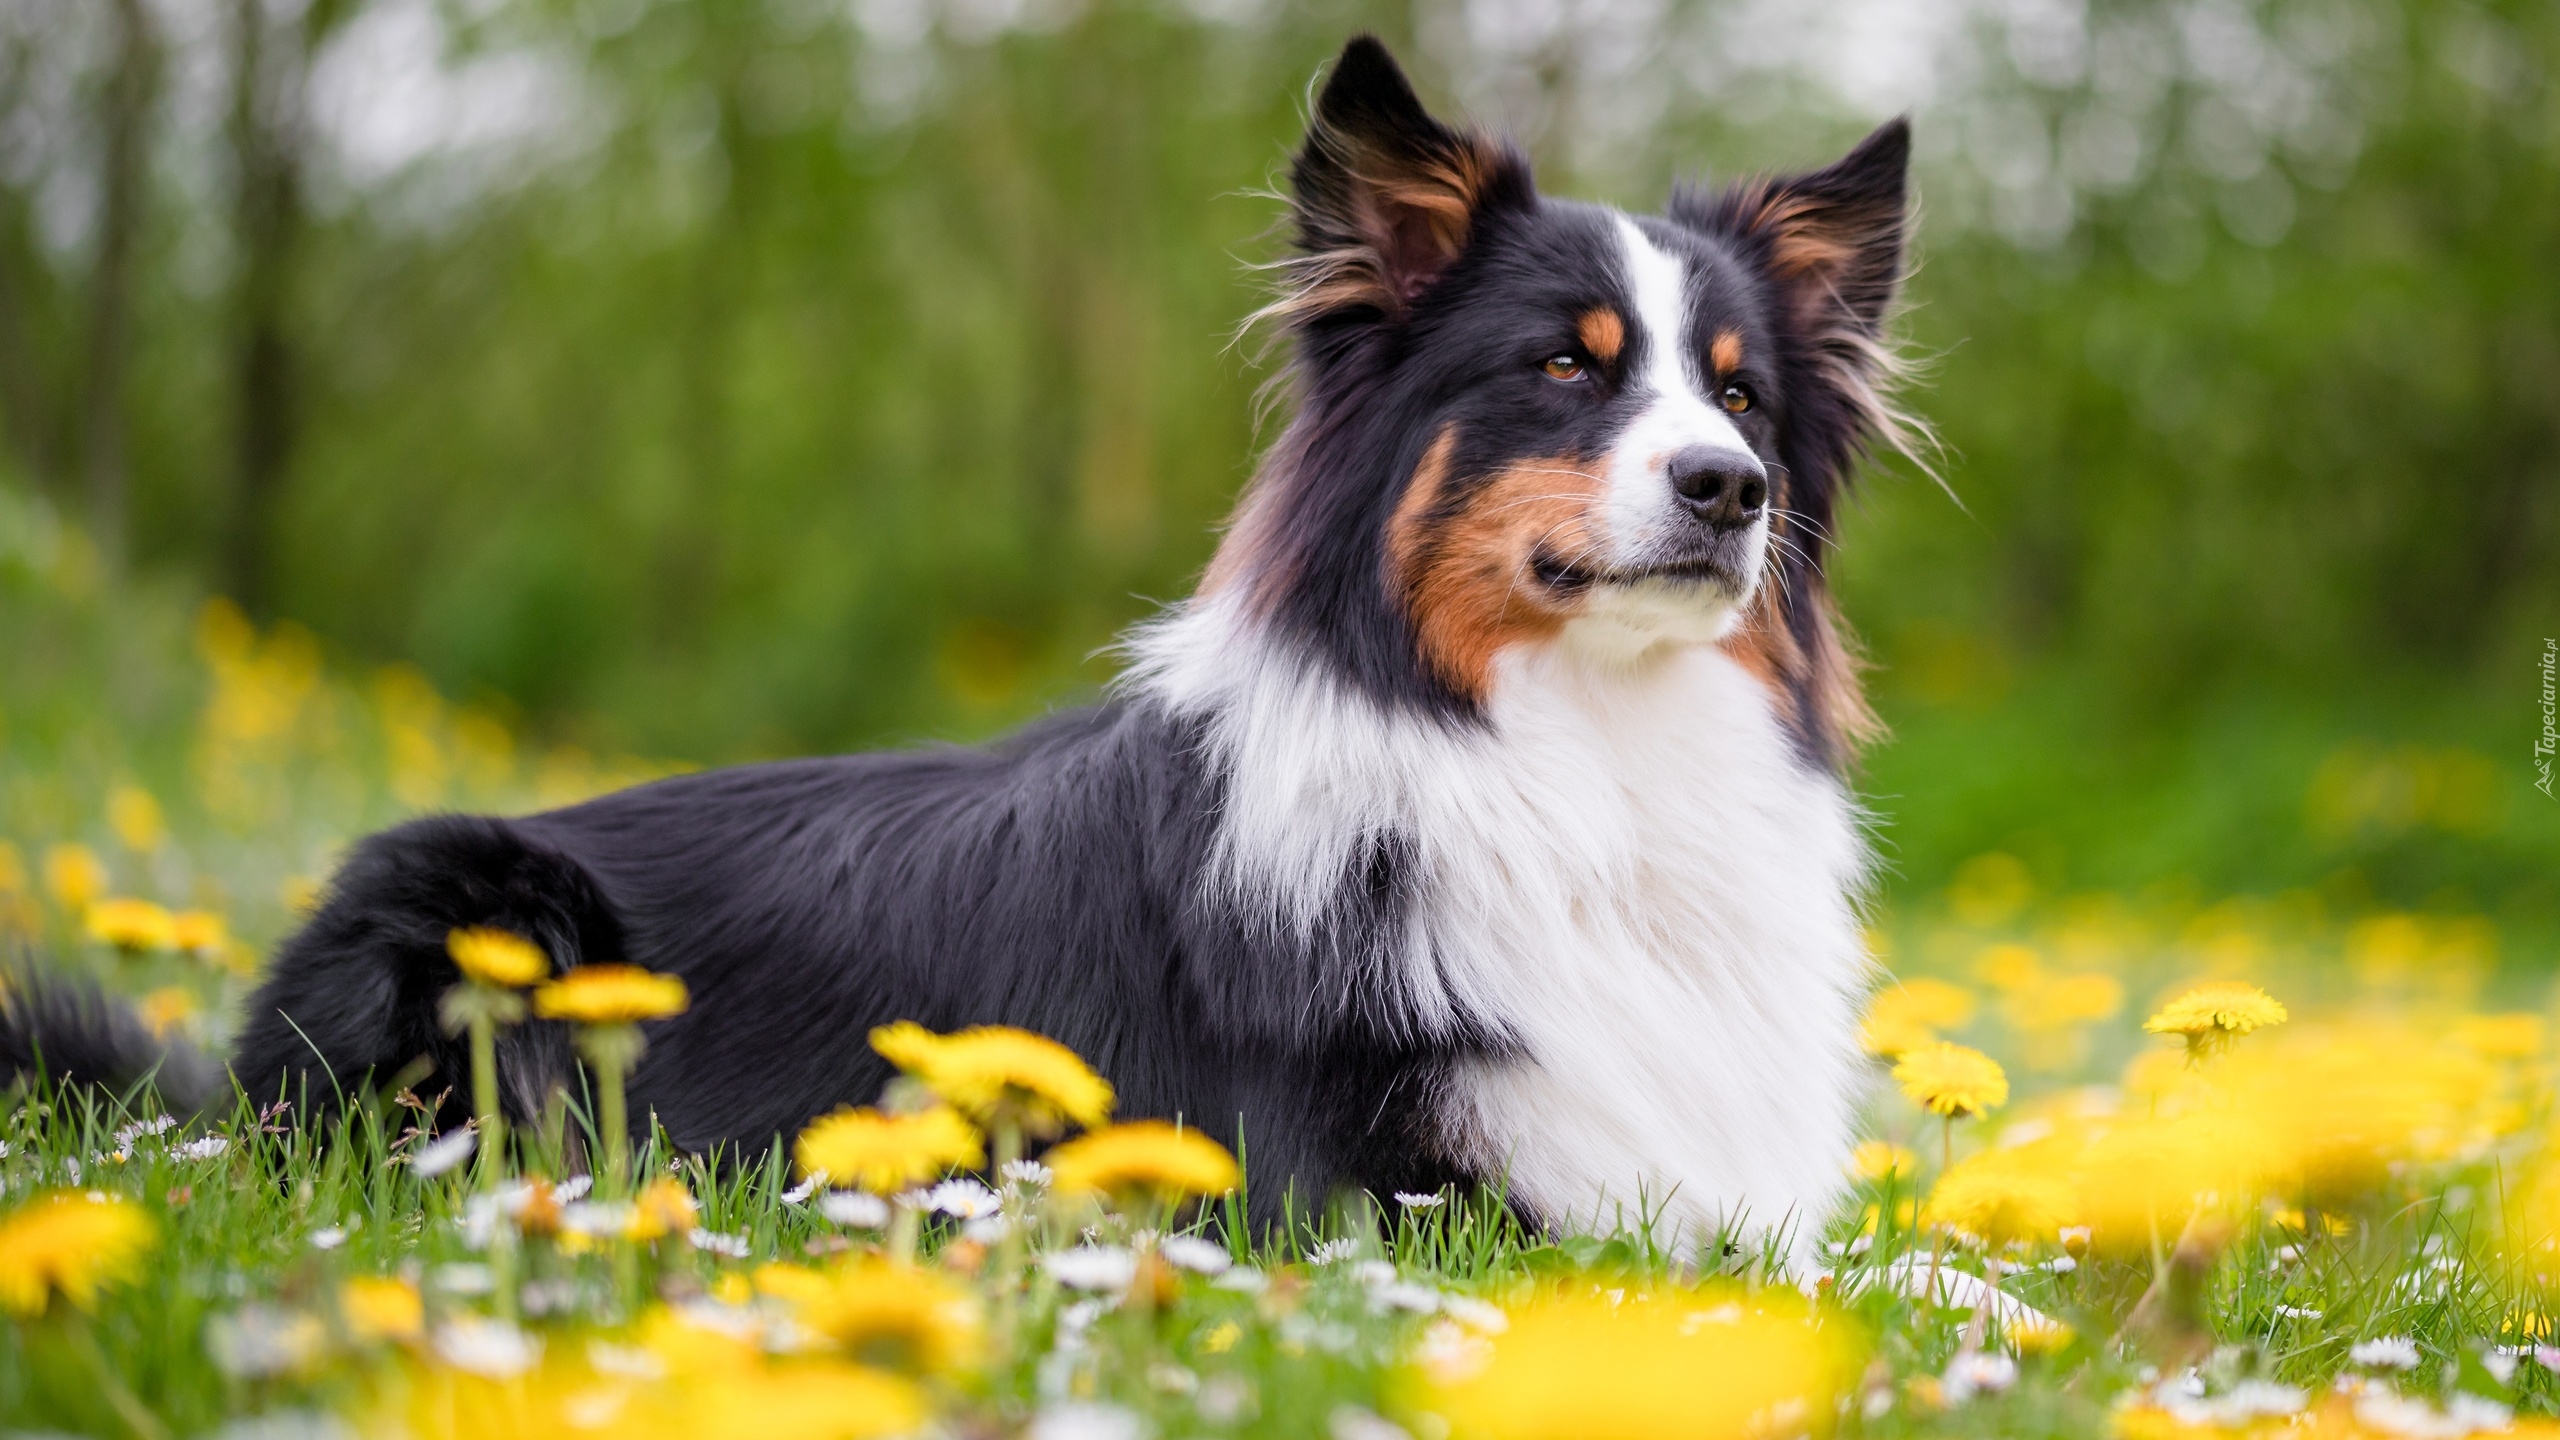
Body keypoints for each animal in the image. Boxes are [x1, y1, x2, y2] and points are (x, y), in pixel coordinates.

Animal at [20, 33, 1914, 1245]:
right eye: (1565, 369)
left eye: (1743, 394)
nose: (1729, 487)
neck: (1577, 750)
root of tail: (233, 1086)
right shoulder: (1379, 1207)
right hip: (480, 906)